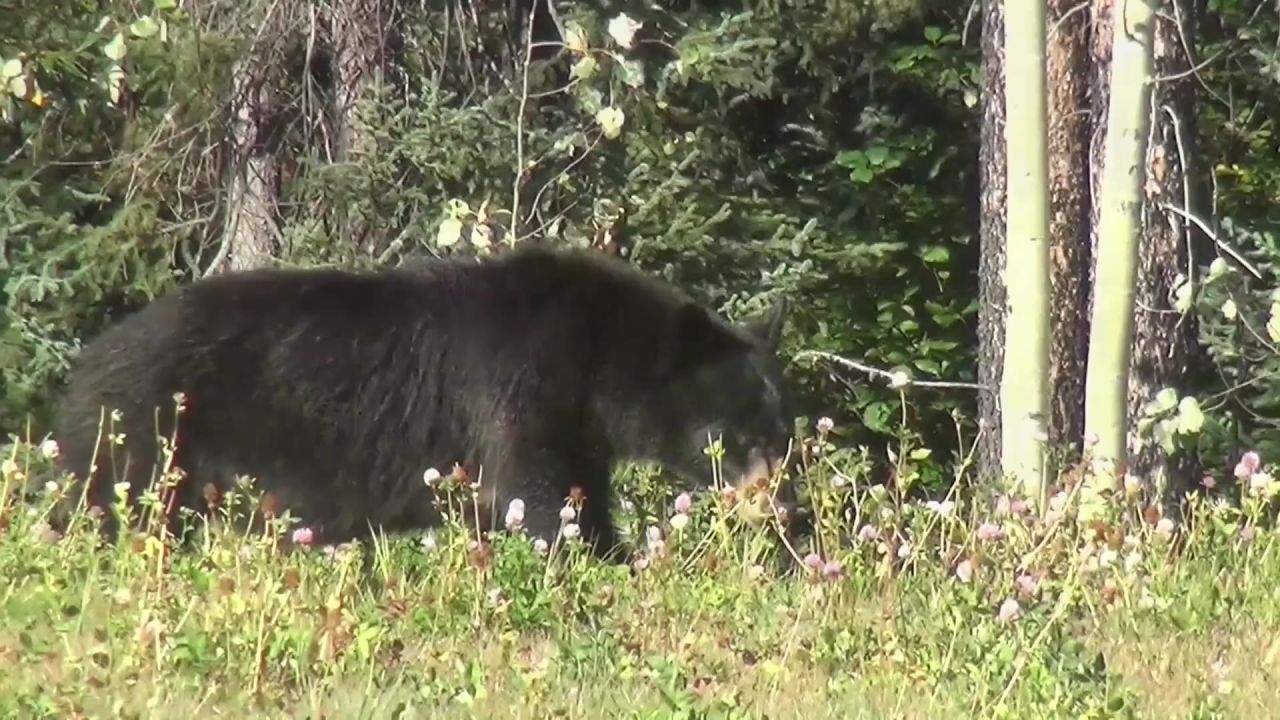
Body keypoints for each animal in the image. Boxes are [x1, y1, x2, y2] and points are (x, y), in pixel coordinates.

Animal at [52, 240, 798, 556]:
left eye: (784, 433)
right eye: (740, 436)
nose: (788, 510)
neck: (595, 361)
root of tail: (88, 360)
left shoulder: (577, 427)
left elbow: (574, 491)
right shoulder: (518, 387)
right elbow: (538, 496)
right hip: (145, 435)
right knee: (103, 506)